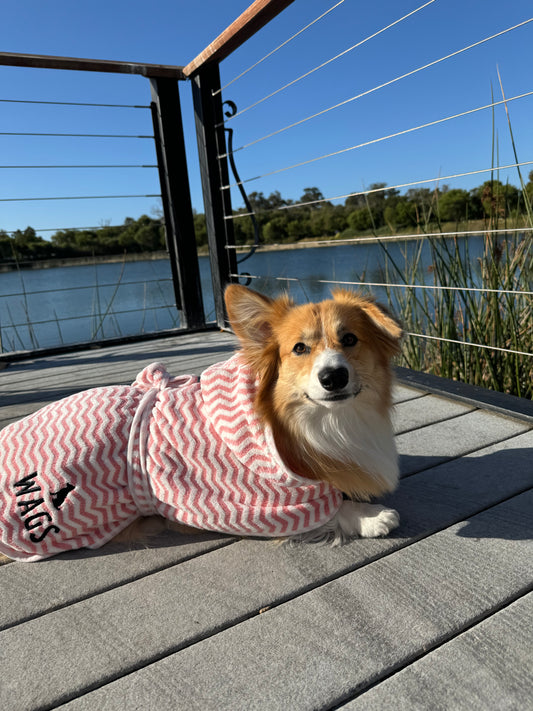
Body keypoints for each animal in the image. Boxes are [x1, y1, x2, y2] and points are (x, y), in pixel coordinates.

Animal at [0, 284, 400, 560]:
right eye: (299, 349)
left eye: (350, 339)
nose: (334, 377)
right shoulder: (264, 506)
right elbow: (329, 507)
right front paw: (371, 516)